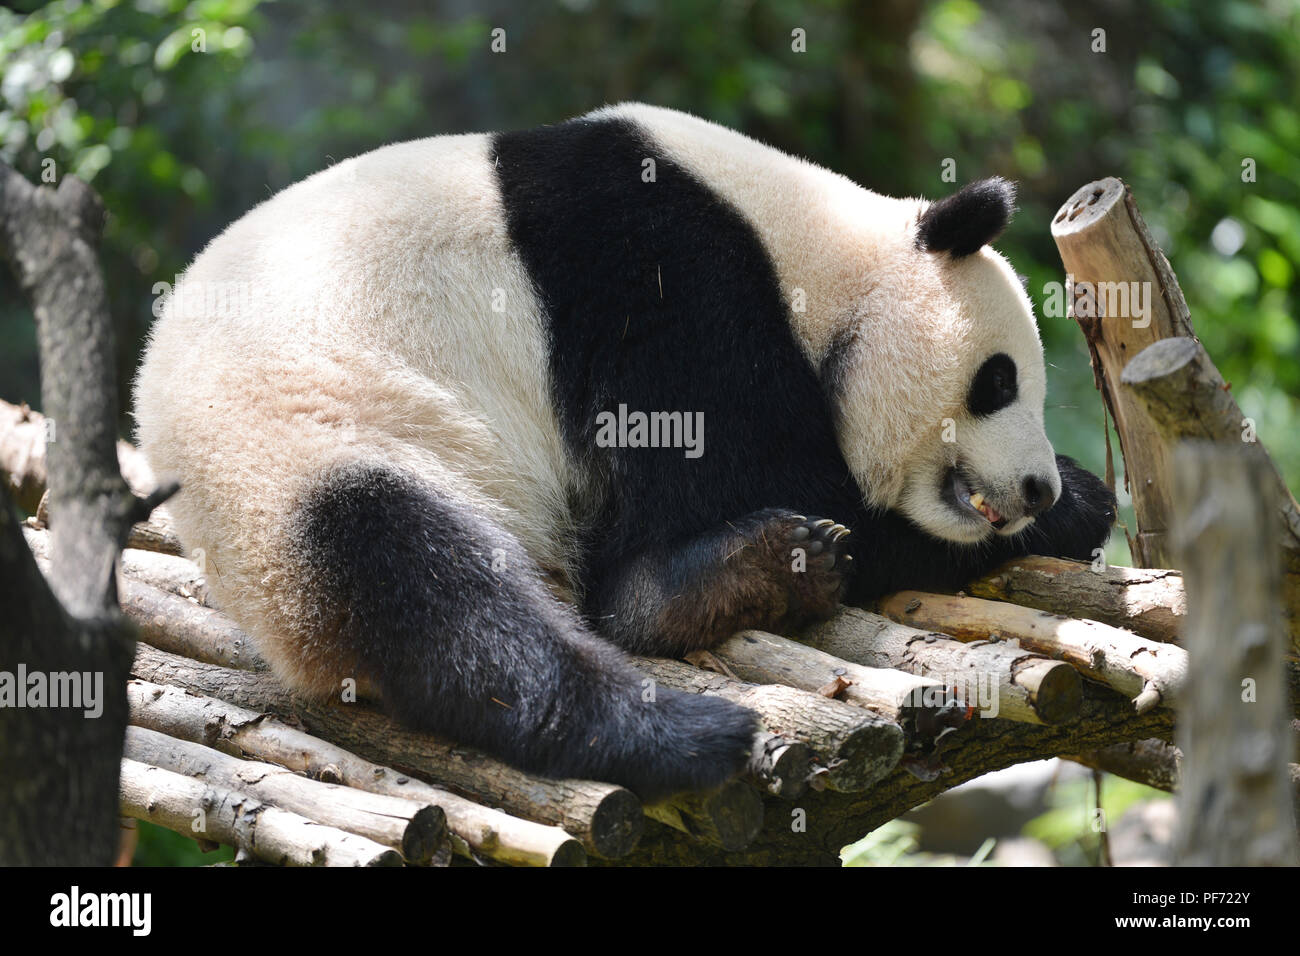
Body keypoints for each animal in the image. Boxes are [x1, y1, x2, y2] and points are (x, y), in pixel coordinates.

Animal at [134, 103, 1115, 802]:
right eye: (997, 381)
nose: (1032, 486)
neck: (808, 243)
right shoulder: (666, 280)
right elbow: (754, 475)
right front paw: (1075, 508)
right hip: (308, 446)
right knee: (427, 585)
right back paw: (680, 720)